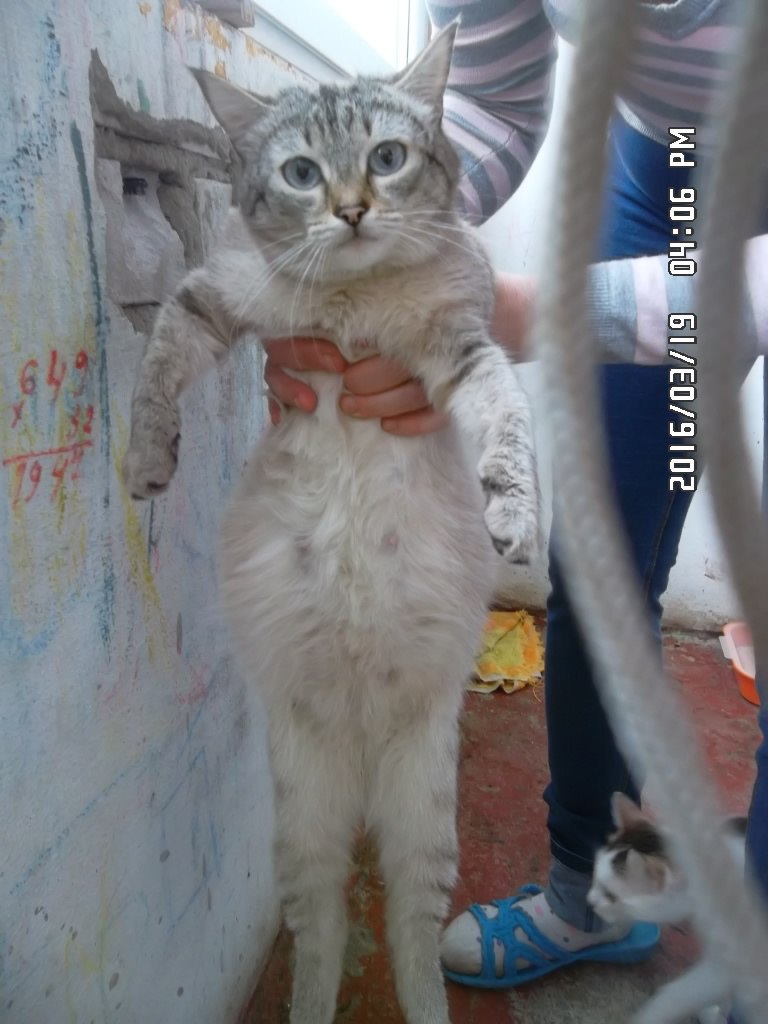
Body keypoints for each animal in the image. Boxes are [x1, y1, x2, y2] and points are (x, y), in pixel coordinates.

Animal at [121, 23, 539, 1024]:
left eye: (386, 160)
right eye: (303, 173)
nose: (351, 212)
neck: (353, 299)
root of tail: (356, 732)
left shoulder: (461, 352)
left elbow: (510, 421)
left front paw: (514, 512)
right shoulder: (210, 300)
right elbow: (156, 368)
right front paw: (147, 458)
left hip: (423, 816)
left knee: (412, 937)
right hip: (304, 826)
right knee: (319, 938)